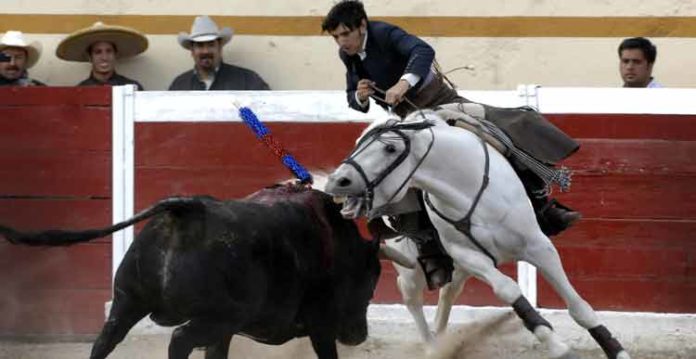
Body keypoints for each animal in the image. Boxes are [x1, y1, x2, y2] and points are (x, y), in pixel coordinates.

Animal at [0, 186, 380, 359]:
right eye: (371, 283)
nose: (358, 335)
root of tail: (186, 209)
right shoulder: (320, 324)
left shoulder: (226, 332)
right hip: (218, 314)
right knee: (180, 338)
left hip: (127, 300)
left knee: (106, 338)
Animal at [324, 112, 632, 359]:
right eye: (358, 145)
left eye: (390, 148)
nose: (338, 181)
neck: (464, 186)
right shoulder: (469, 256)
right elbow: (509, 290)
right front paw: (558, 346)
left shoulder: (538, 246)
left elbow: (578, 307)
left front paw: (617, 351)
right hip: (409, 265)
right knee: (411, 296)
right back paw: (433, 348)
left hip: (457, 269)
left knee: (448, 293)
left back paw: (442, 340)